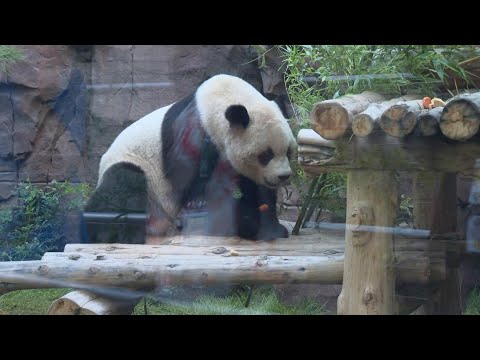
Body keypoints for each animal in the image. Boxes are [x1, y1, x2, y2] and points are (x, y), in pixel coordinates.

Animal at [84, 75, 298, 245]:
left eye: (288, 152)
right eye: (266, 155)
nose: (283, 176)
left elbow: (258, 191)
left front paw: (270, 228)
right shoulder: (194, 135)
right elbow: (194, 184)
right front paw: (242, 223)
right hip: (136, 166)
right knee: (121, 185)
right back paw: (116, 235)